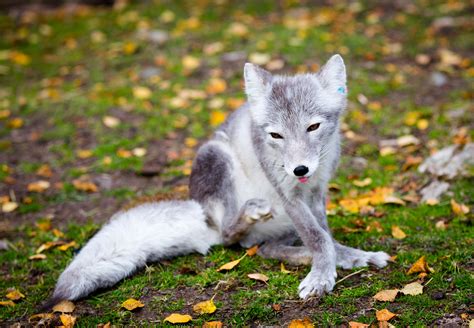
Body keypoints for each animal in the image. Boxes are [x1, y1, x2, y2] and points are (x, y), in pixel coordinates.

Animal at [46, 53, 390, 304]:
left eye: (313, 127)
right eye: (275, 135)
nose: (300, 170)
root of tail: (204, 217)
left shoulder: (317, 192)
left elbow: (325, 236)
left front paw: (345, 257)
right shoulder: (288, 195)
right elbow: (318, 237)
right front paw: (322, 273)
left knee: (263, 247)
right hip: (217, 156)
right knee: (231, 236)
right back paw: (253, 221)